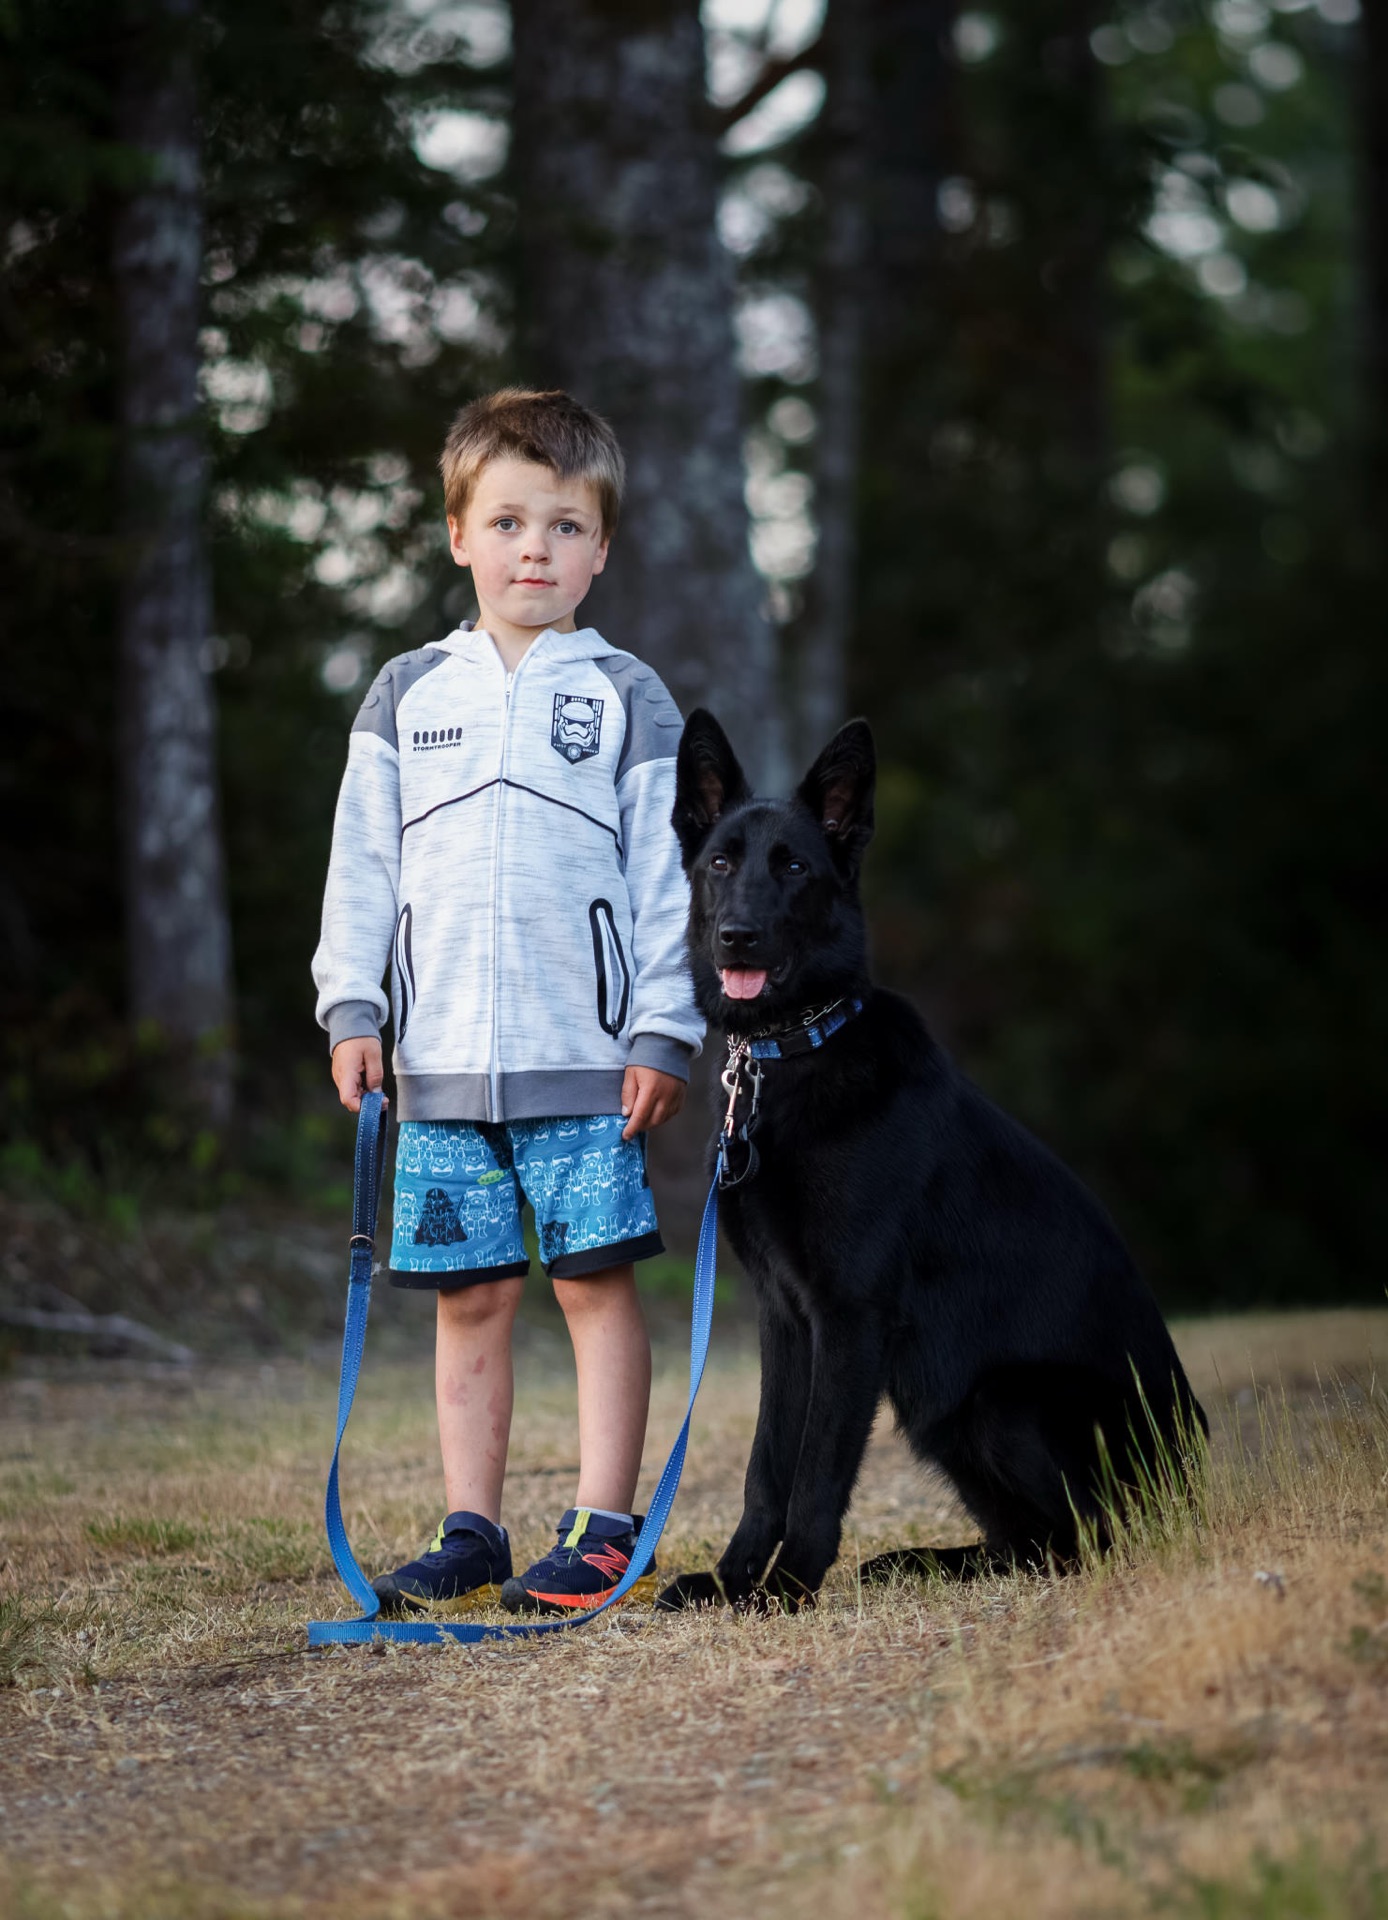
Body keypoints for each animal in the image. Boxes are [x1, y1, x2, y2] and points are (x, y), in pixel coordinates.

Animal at [657, 710, 1206, 1612]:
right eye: (720, 864)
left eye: (794, 866)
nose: (737, 936)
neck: (793, 1054)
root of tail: (1198, 1480)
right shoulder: (785, 1317)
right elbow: (766, 1465)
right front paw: (732, 1581)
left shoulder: (850, 1317)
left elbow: (817, 1470)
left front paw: (787, 1588)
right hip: (944, 1418)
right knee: (1033, 1542)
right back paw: (920, 1563)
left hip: (998, 1403)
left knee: (1093, 1538)